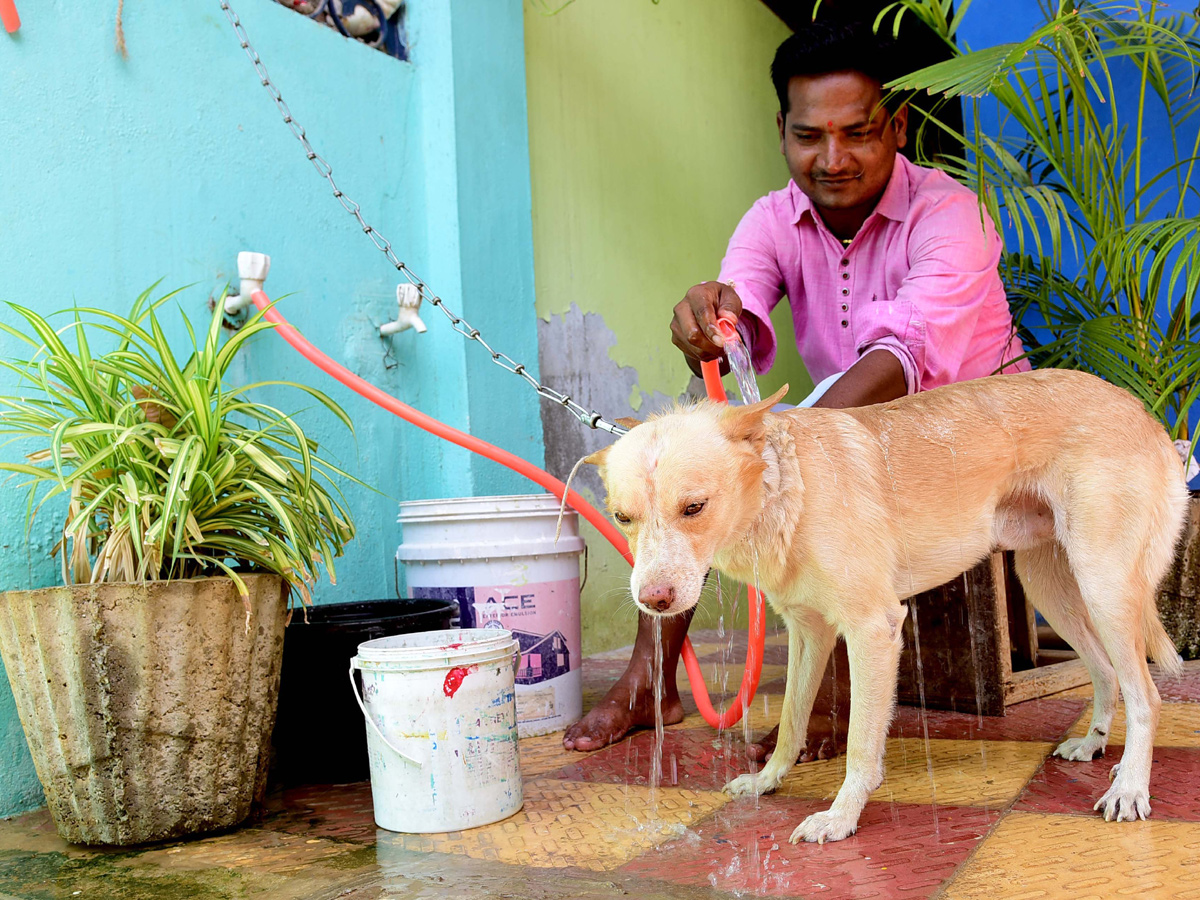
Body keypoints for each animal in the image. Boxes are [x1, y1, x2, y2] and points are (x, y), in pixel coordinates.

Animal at [585, 367, 1185, 844]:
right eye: (621, 517)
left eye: (694, 507)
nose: (653, 599)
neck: (789, 490)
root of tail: (1144, 413)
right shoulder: (809, 632)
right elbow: (792, 719)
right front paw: (768, 780)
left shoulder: (874, 628)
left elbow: (858, 744)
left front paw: (840, 816)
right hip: (1050, 587)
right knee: (1106, 671)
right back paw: (1095, 745)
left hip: (1103, 583)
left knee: (1148, 695)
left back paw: (1131, 786)